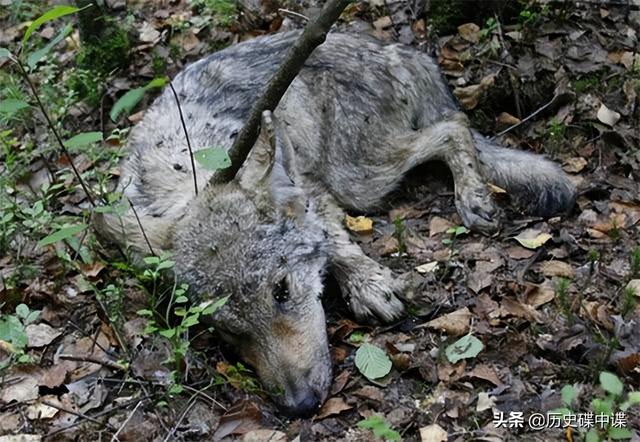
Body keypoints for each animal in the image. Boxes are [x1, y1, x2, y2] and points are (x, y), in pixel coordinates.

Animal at [96, 30, 580, 414]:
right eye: (230, 331)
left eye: (281, 291)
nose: (300, 406)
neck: (189, 168)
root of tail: (389, 47)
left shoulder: (315, 191)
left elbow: (333, 241)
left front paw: (369, 284)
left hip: (359, 176)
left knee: (453, 125)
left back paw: (475, 197)